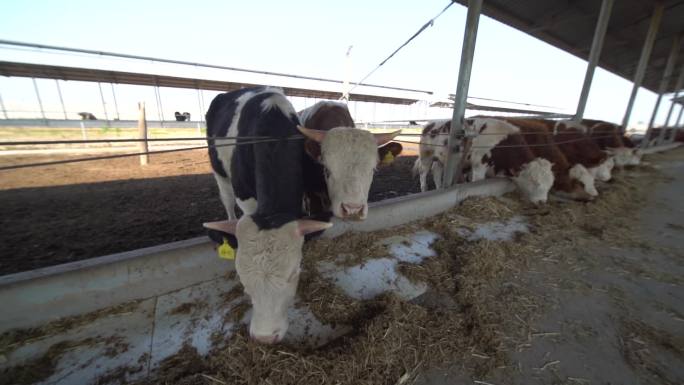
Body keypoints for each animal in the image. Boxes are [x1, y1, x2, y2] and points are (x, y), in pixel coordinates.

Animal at [412, 118, 556, 202]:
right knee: (424, 172)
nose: (542, 202)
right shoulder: (479, 164)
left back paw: (437, 188)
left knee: (436, 171)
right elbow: (477, 182)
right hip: (426, 154)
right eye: (535, 182)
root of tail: (430, 123)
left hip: (441, 158)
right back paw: (424, 189)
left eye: (550, 184)